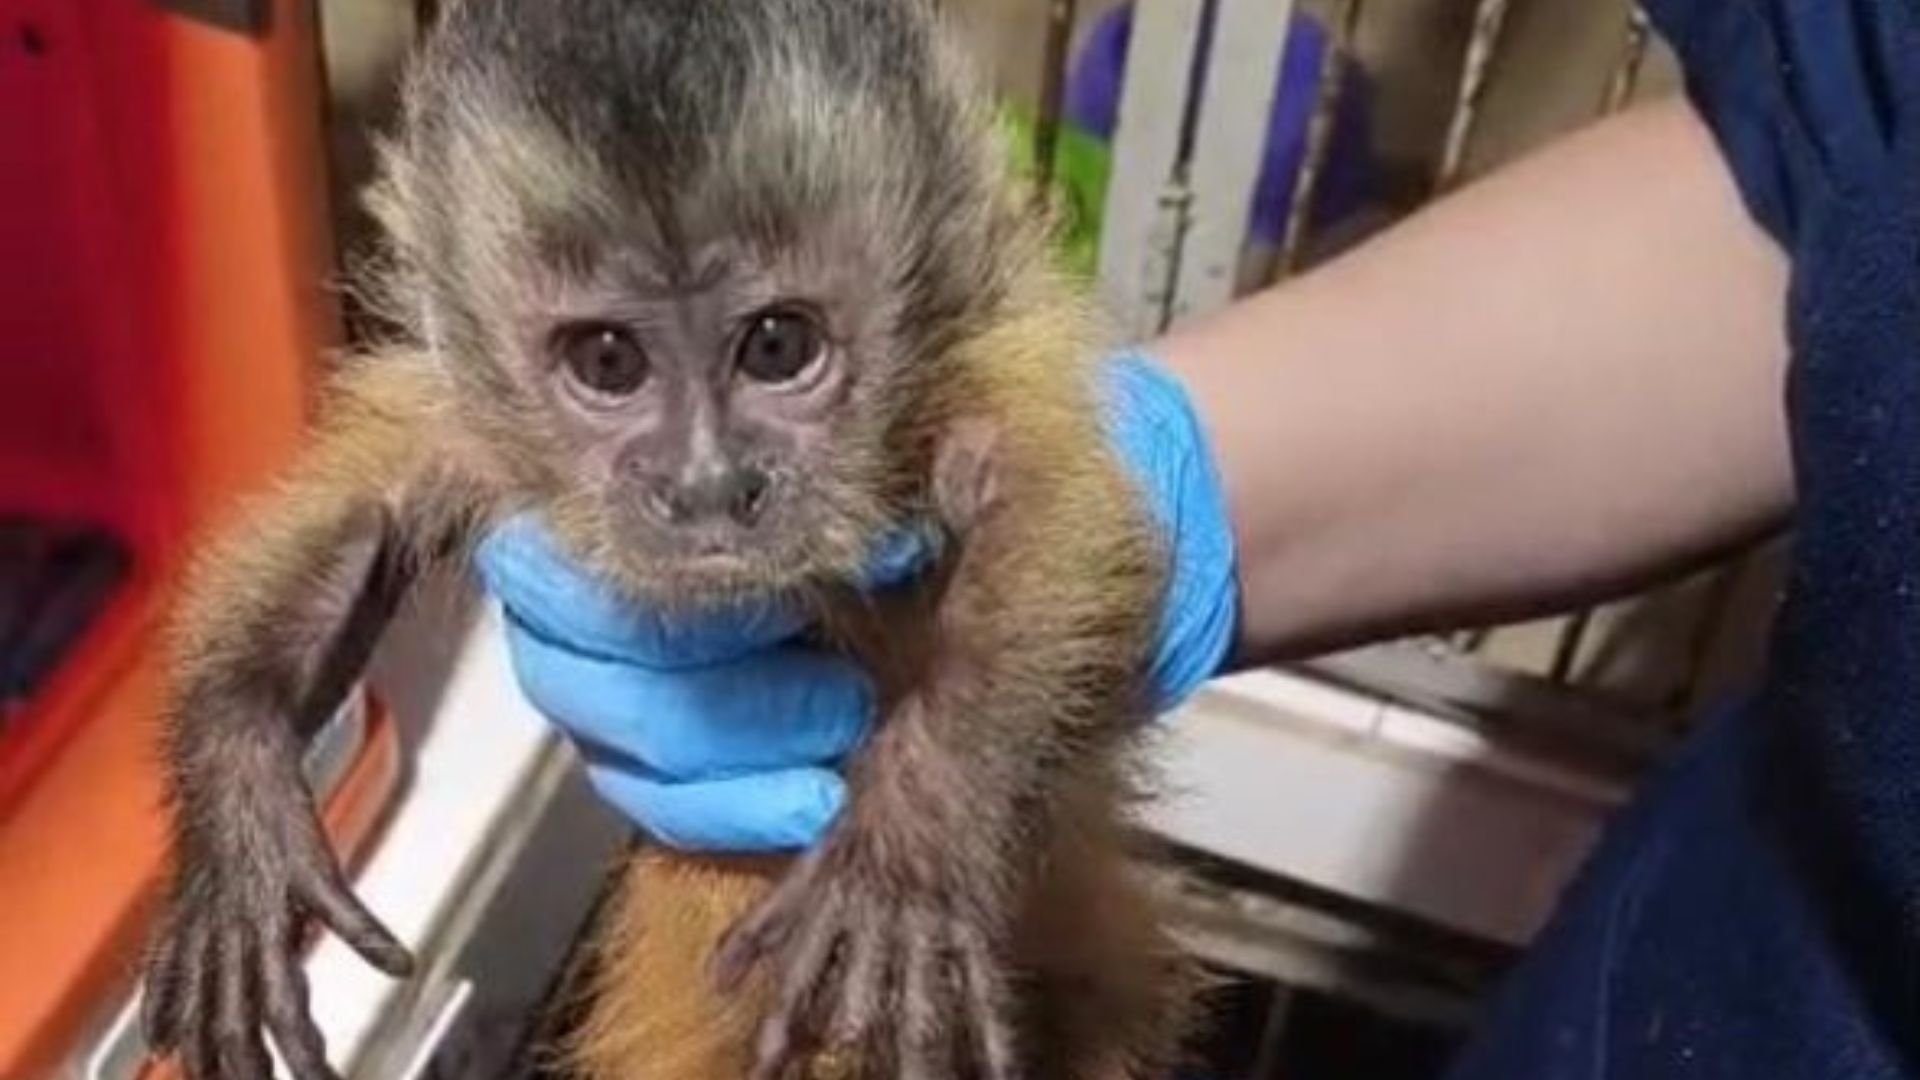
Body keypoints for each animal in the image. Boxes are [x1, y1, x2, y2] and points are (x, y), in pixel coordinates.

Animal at [137, 1, 1201, 1078]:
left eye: (777, 345)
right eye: (609, 361)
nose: (710, 486)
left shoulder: (976, 350)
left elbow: (1054, 505)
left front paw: (913, 830)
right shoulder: (462, 407)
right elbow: (363, 517)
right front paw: (241, 806)